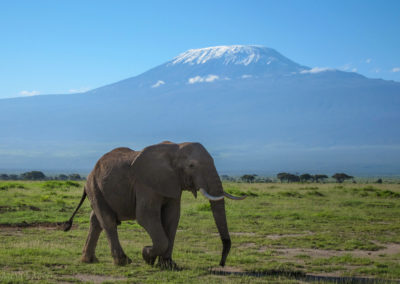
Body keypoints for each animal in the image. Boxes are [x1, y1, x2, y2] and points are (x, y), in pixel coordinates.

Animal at [64, 141, 245, 268]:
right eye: (192, 165)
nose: (221, 263)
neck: (175, 148)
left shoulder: (173, 183)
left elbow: (172, 217)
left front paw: (168, 265)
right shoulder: (145, 183)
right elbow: (146, 215)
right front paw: (147, 255)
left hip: (99, 190)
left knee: (96, 221)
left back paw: (89, 260)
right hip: (95, 187)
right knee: (108, 221)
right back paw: (123, 261)